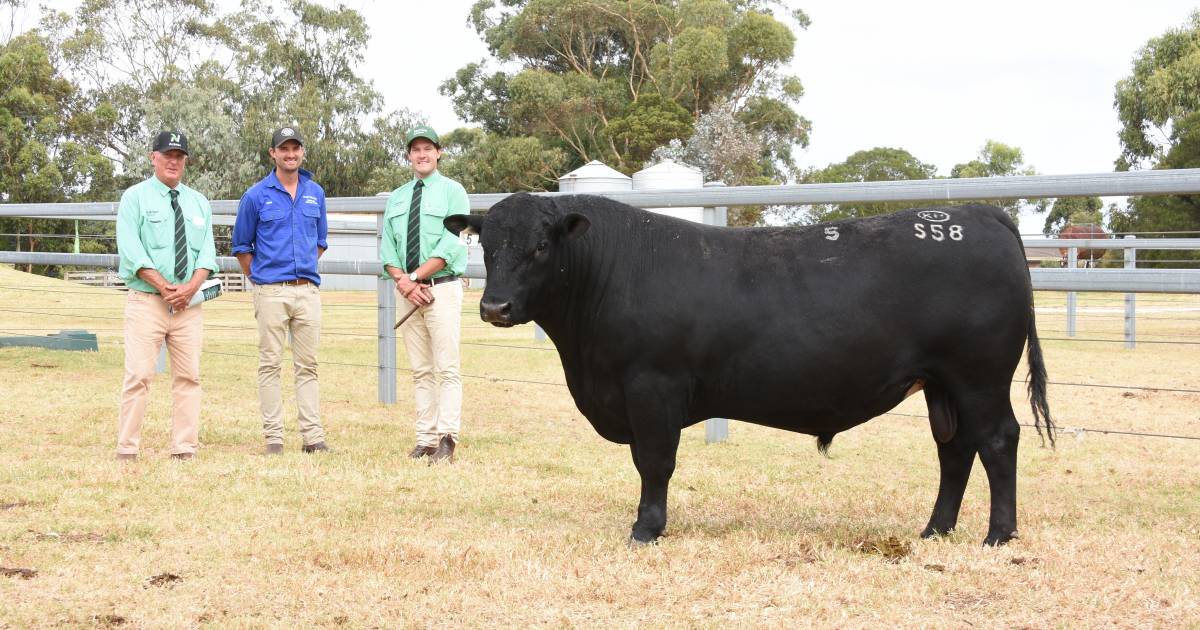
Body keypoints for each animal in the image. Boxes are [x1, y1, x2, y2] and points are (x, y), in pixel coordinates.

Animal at [446, 193, 1056, 544]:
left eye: (540, 246)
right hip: (941, 384)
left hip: (979, 377)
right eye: (488, 245)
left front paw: (646, 529)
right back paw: (934, 530)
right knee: (954, 450)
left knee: (997, 441)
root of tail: (978, 212)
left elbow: (654, 463)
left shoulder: (653, 387)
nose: (495, 307)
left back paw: (999, 535)